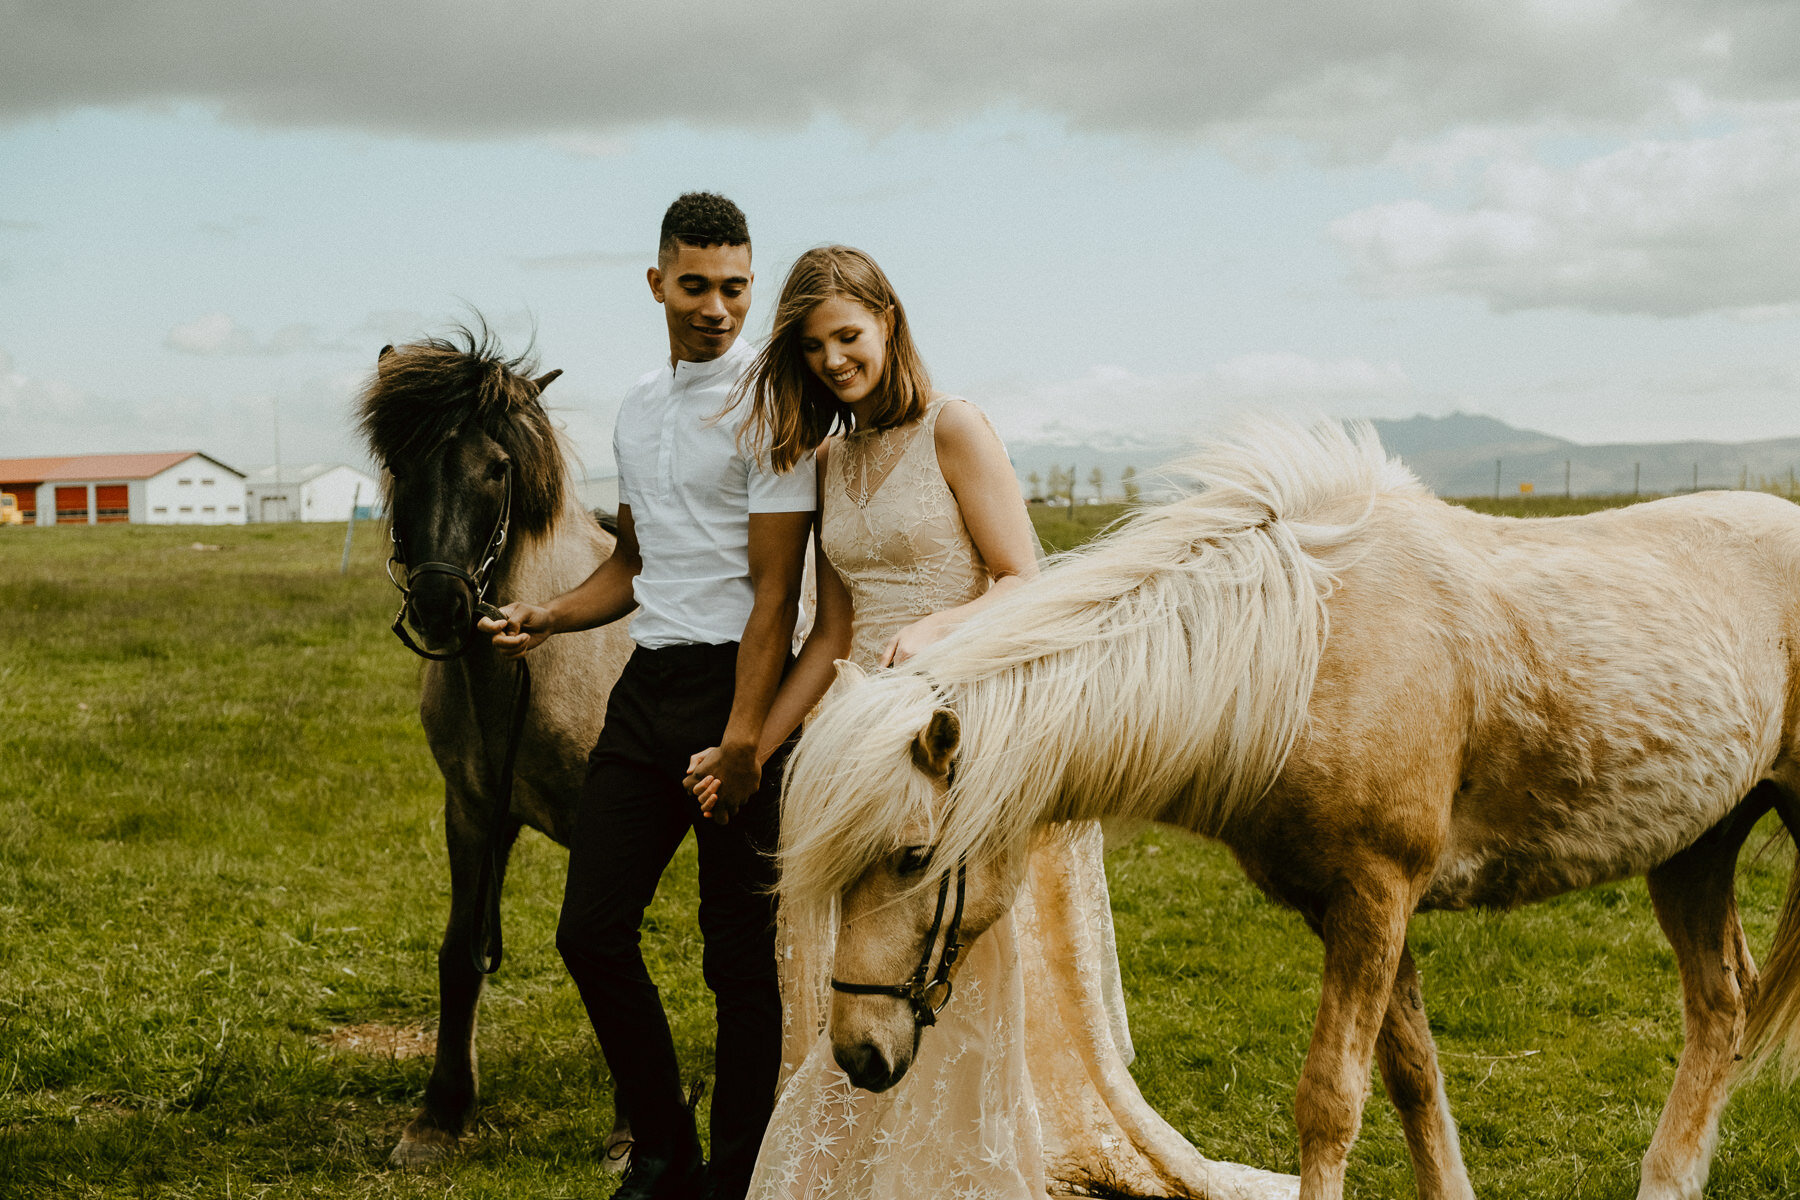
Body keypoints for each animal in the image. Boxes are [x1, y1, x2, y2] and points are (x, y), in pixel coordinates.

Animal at [356, 325, 633, 1165]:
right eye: (400, 462)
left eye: (497, 468)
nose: (441, 602)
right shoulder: (474, 812)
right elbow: (460, 952)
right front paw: (441, 1114)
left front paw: (630, 1126)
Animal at [781, 422, 1800, 1200]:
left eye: (913, 857)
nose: (859, 1056)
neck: (1306, 652)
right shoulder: (1352, 912)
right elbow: (1412, 1079)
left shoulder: (1376, 899)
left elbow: (1330, 1102)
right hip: (1695, 847)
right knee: (1721, 1006)